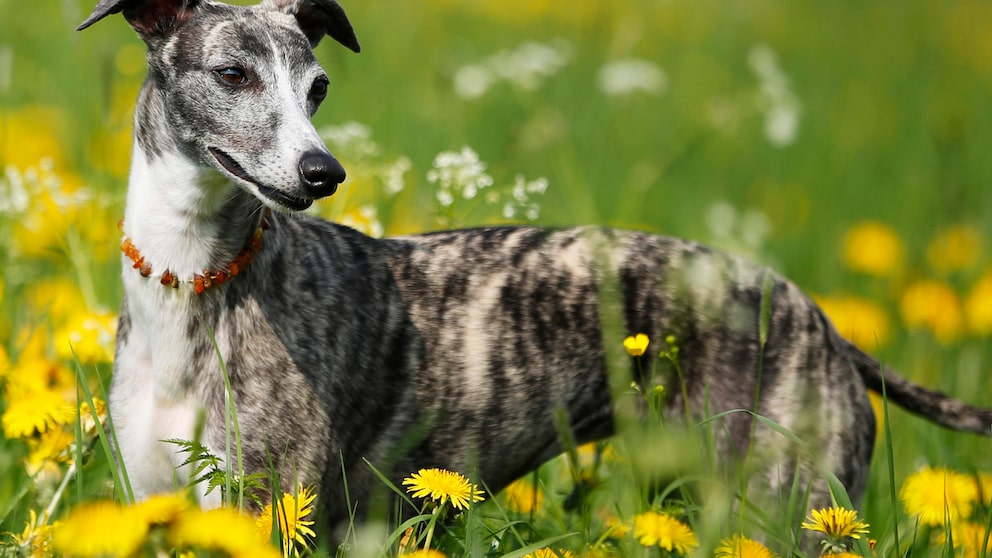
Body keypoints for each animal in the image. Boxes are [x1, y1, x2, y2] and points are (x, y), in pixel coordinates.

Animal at [79, 0, 992, 540]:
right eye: (232, 73)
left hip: (789, 510)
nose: (322, 172)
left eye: (319, 86)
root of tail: (819, 319)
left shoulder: (268, 509)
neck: (194, 282)